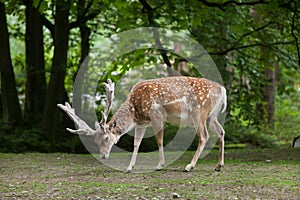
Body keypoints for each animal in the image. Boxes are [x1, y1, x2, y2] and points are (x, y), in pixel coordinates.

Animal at [58, 76, 227, 172]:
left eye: (106, 138)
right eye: (96, 141)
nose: (103, 156)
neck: (135, 112)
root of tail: (223, 90)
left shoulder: (156, 115)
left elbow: (159, 141)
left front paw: (160, 165)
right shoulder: (142, 123)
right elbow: (136, 143)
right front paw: (129, 167)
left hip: (199, 112)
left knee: (204, 136)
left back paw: (189, 166)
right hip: (212, 116)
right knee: (221, 132)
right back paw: (219, 165)